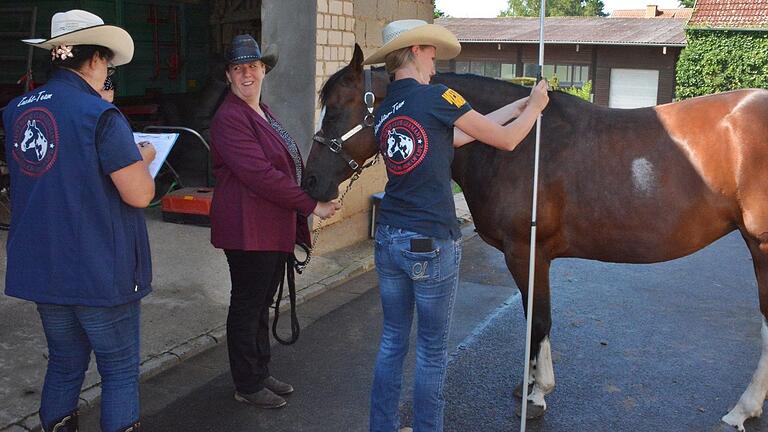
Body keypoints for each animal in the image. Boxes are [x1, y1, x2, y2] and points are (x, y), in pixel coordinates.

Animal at [304, 44, 768, 432]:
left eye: (337, 110)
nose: (310, 182)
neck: (517, 146)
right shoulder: (533, 257)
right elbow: (535, 318)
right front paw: (531, 384)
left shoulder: (526, 252)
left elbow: (539, 319)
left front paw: (535, 396)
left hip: (761, 248)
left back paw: (742, 410)